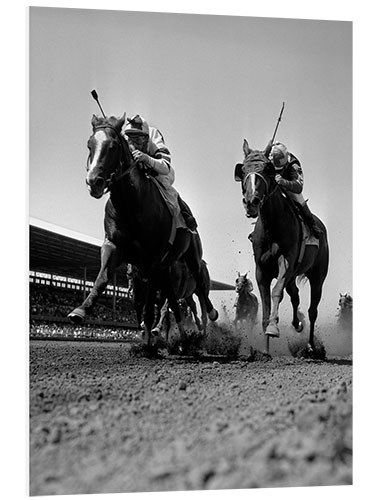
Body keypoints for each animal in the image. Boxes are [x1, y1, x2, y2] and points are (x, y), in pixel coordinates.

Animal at [235, 139, 328, 358]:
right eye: (243, 170)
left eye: (267, 169)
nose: (251, 202)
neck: (272, 226)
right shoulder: (261, 270)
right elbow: (266, 305)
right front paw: (265, 350)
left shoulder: (285, 262)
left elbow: (276, 292)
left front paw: (273, 328)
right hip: (294, 275)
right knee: (295, 295)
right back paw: (297, 323)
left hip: (317, 275)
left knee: (313, 310)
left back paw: (311, 346)